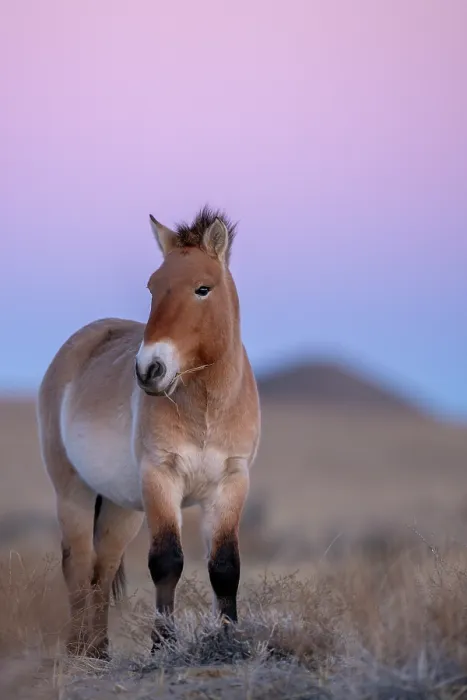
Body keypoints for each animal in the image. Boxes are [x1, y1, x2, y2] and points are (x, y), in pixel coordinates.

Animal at [37, 206, 261, 660]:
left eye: (202, 289)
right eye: (153, 287)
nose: (149, 370)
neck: (206, 408)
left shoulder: (232, 482)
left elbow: (225, 566)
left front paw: (228, 640)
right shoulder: (161, 477)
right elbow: (166, 562)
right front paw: (163, 644)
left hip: (121, 508)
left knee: (103, 567)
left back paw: (100, 650)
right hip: (73, 491)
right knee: (78, 564)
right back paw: (78, 651)